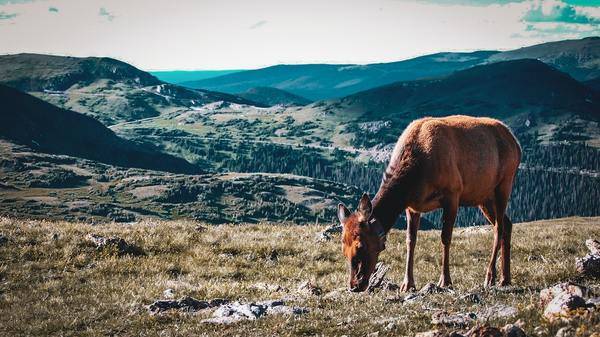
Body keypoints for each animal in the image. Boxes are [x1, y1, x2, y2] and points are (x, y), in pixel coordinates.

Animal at [338, 115, 520, 292]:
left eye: (361, 246)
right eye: (343, 249)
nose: (354, 286)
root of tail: (516, 144)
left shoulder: (453, 192)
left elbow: (445, 237)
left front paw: (445, 281)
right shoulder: (412, 206)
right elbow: (410, 240)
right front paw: (407, 284)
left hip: (504, 183)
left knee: (499, 228)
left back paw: (490, 277)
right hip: (483, 197)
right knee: (507, 224)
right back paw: (505, 279)